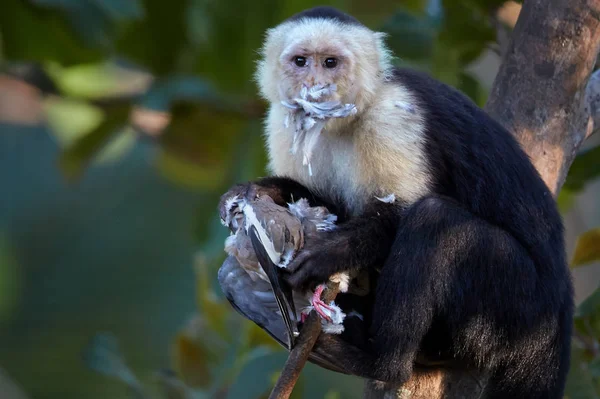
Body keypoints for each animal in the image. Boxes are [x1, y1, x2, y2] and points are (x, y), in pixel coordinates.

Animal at [218, 6, 576, 399]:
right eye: (301, 61)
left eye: (330, 63)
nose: (314, 84)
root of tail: (559, 310)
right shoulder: (281, 123)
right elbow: (325, 204)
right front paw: (257, 193)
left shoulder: (393, 116)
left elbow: (398, 212)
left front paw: (326, 254)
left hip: (521, 307)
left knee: (433, 220)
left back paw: (384, 363)